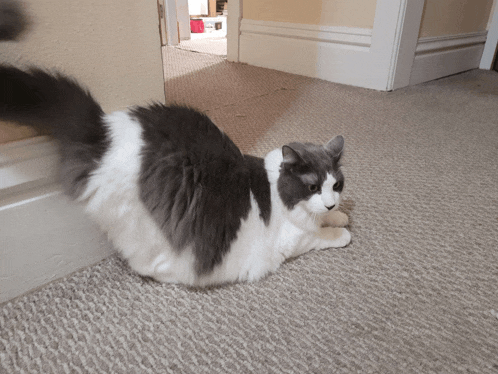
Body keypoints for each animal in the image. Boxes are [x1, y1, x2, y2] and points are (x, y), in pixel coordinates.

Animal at [0, 65, 350, 286]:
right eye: (312, 186)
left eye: (336, 184)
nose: (330, 202)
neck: (276, 190)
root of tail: (105, 130)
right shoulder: (294, 240)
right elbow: (322, 237)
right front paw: (342, 232)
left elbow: (330, 220)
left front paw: (340, 215)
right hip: (146, 226)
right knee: (147, 265)